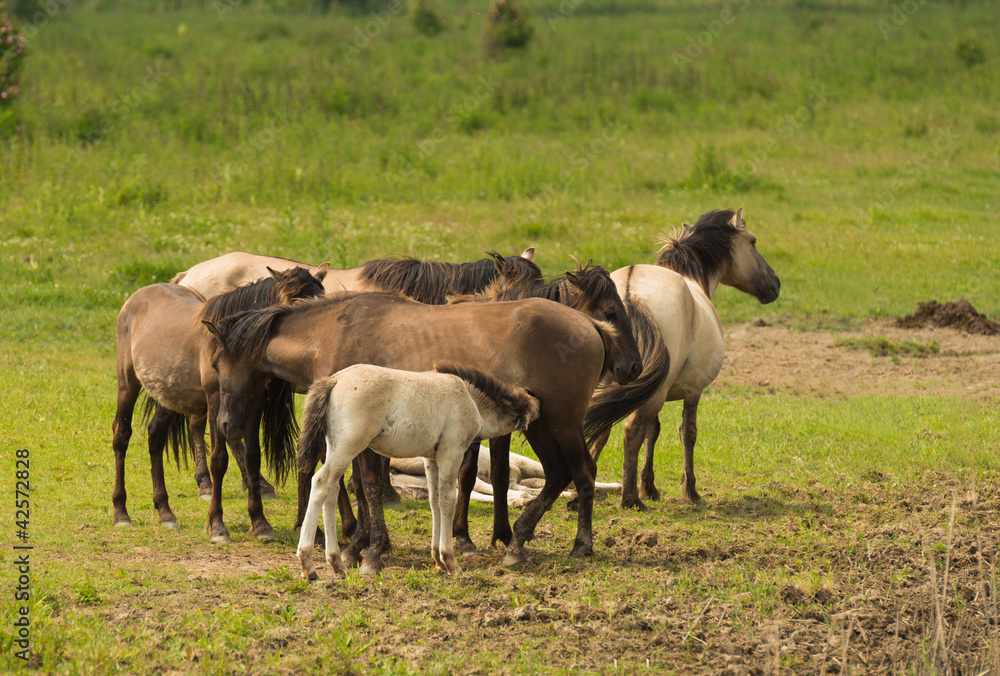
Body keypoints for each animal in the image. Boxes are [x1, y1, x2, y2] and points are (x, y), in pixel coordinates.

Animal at [110, 266, 328, 540]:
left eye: (323, 297)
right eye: (298, 303)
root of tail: (135, 297)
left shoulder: (254, 401)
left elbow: (252, 457)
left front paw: (260, 523)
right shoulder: (215, 401)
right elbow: (219, 460)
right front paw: (217, 526)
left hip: (170, 393)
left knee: (156, 435)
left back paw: (165, 512)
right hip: (127, 383)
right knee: (121, 435)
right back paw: (121, 513)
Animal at [292, 362, 540, 580]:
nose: (539, 404)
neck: (469, 399)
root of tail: (334, 379)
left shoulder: (431, 459)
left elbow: (434, 501)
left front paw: (438, 560)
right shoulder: (451, 454)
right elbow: (448, 500)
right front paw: (450, 561)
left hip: (334, 446)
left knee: (331, 490)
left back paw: (336, 563)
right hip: (349, 446)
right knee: (321, 482)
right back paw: (308, 564)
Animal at [584, 209, 780, 510]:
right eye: (753, 242)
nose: (776, 284)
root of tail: (628, 292)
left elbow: (653, 431)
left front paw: (650, 487)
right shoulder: (692, 390)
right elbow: (687, 433)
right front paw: (690, 491)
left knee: (601, 427)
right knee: (631, 430)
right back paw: (630, 499)